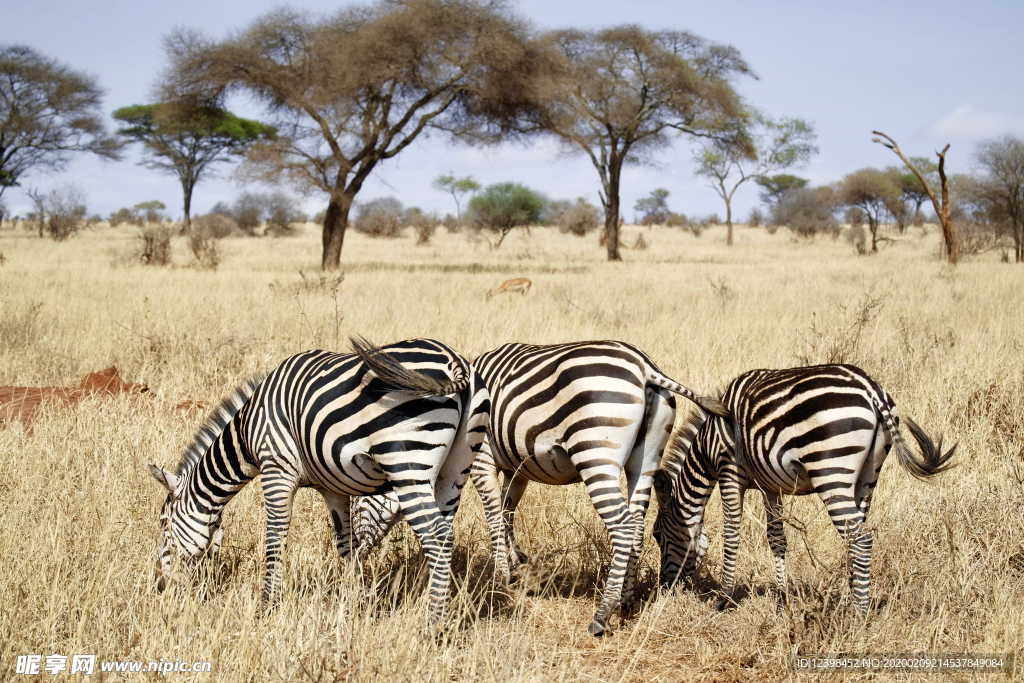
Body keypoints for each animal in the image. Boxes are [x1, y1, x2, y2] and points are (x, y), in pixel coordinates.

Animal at [145, 337, 491, 626]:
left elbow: (275, 538)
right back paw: (435, 610)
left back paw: (432, 626)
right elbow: (346, 545)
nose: (160, 585)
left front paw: (268, 606)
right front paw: (353, 602)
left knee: (437, 538)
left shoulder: (277, 468)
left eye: (164, 523)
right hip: (455, 470)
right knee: (445, 532)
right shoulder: (331, 487)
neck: (246, 431)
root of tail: (454, 361)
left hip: (407, 463)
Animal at [352, 339, 729, 634]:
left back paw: (603, 613)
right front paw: (516, 563)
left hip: (596, 453)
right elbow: (508, 510)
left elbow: (493, 513)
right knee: (636, 524)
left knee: (622, 527)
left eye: (358, 502)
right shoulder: (517, 467)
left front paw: (502, 576)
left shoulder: (483, 457)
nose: (354, 556)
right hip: (646, 458)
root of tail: (646, 367)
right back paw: (626, 599)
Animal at [651, 362, 954, 614]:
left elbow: (731, 534)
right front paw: (781, 599)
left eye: (657, 535)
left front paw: (724, 598)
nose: (665, 588)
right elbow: (776, 539)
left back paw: (860, 612)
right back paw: (852, 596)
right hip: (868, 475)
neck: (707, 446)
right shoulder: (769, 486)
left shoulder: (729, 471)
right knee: (855, 536)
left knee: (861, 539)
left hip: (832, 470)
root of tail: (870, 389)